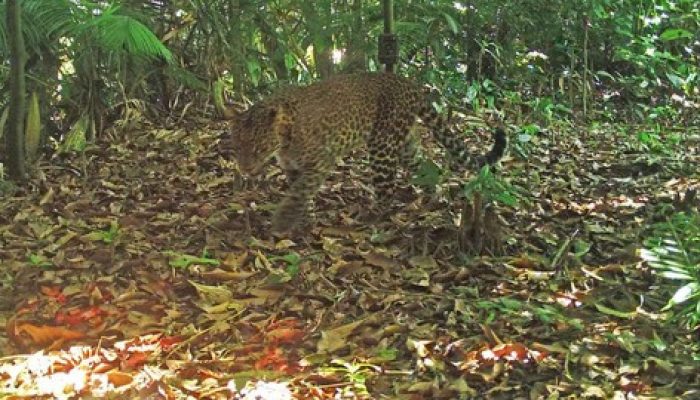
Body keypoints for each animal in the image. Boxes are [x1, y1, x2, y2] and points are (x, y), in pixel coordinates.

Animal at [221, 72, 506, 234]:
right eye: (237, 147)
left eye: (258, 148)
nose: (245, 169)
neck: (285, 138)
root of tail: (411, 85)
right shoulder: (293, 167)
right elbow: (300, 193)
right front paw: (305, 219)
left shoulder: (320, 162)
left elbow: (299, 192)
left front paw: (283, 222)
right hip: (404, 144)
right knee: (426, 166)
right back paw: (434, 194)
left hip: (382, 145)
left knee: (388, 189)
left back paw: (370, 216)